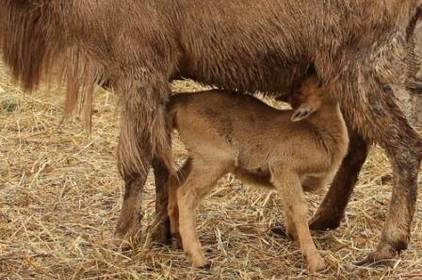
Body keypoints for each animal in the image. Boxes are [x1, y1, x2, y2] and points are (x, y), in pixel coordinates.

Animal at [167, 76, 350, 272]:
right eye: (316, 84)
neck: (316, 130)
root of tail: (182, 102)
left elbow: (289, 206)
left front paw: (294, 237)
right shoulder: (284, 168)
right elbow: (299, 209)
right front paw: (315, 261)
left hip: (199, 156)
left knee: (175, 180)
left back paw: (178, 237)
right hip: (214, 158)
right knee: (186, 193)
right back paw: (198, 257)